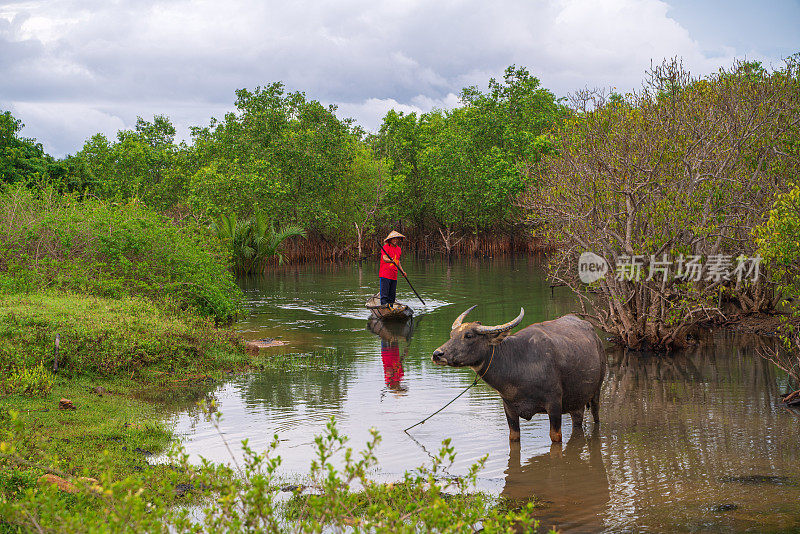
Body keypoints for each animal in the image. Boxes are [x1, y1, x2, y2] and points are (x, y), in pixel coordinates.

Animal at [434, 308, 604, 446]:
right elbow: (513, 437)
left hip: (596, 392)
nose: (437, 354)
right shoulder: (509, 409)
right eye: (452, 335)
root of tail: (596, 336)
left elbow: (555, 436)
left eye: (468, 335)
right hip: (576, 402)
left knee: (596, 416)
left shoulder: (554, 404)